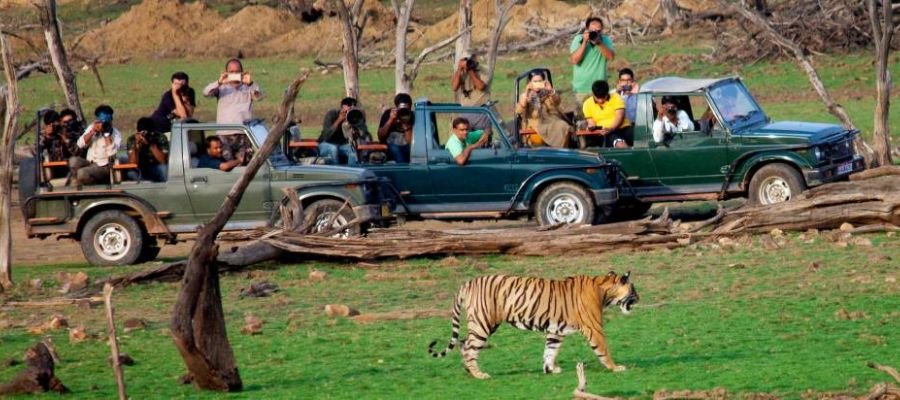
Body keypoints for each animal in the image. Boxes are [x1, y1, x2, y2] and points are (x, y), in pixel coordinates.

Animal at [427, 271, 638, 379]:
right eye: (633, 290)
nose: (639, 297)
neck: (604, 290)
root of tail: (468, 283)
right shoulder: (594, 328)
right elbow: (603, 350)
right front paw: (615, 368)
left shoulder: (555, 331)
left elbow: (550, 351)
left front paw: (550, 369)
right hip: (483, 323)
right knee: (470, 346)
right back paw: (479, 374)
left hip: (485, 324)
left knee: (464, 343)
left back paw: (468, 371)